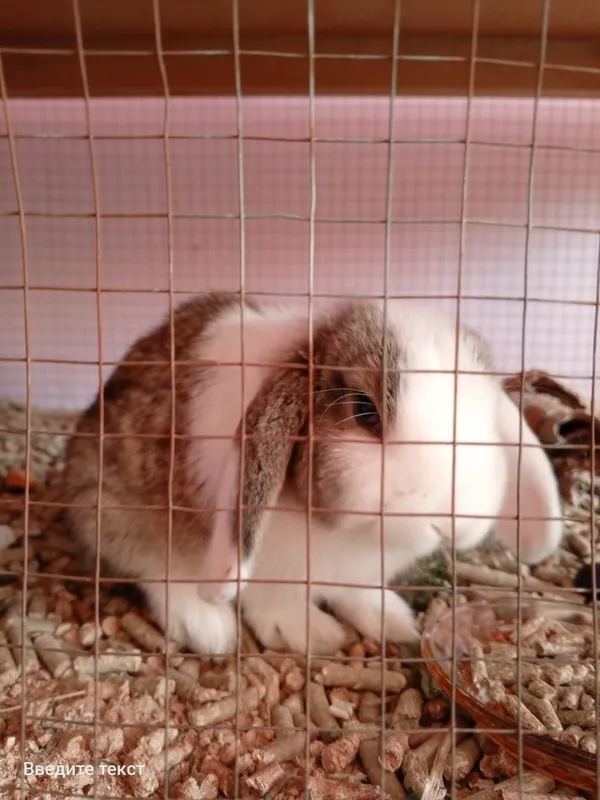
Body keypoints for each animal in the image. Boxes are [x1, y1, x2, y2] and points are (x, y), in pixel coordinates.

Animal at [61, 292, 564, 657]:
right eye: (364, 411)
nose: (454, 524)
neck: (351, 537)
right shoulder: (262, 569)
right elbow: (268, 599)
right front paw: (312, 633)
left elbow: (360, 594)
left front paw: (392, 620)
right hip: (110, 504)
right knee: (147, 564)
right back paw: (207, 627)